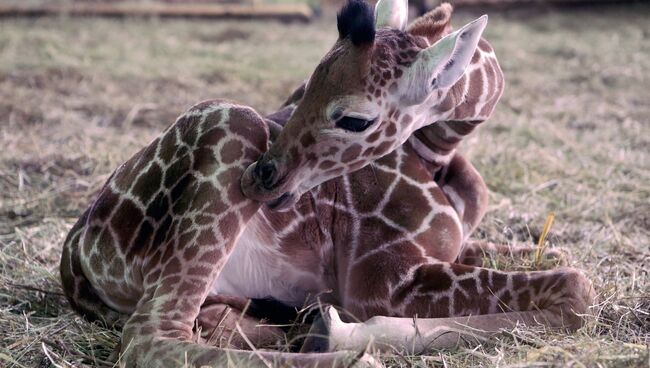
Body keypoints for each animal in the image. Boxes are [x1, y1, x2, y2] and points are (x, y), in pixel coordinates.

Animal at [60, 0, 592, 366]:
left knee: (203, 323)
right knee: (150, 338)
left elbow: (561, 259)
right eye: (306, 86)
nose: (261, 177)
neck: (439, 150)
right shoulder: (380, 278)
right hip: (231, 127)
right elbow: (577, 289)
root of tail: (74, 256)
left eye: (354, 118)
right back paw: (345, 353)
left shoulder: (450, 247)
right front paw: (339, 332)